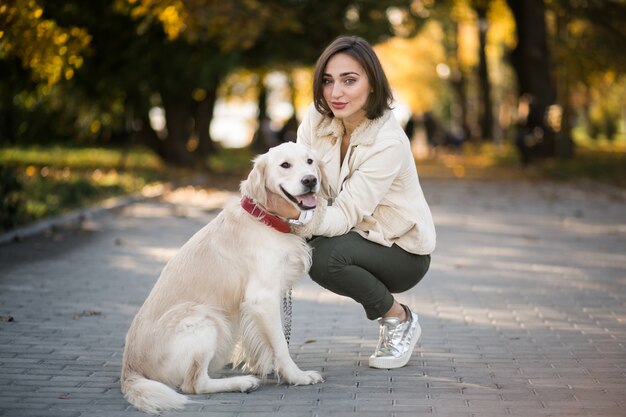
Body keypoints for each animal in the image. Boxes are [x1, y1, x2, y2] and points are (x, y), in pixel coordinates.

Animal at [119, 142, 322, 412]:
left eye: (310, 161)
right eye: (285, 165)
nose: (310, 180)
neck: (264, 218)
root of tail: (129, 369)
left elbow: (265, 342)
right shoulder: (261, 298)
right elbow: (280, 343)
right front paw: (296, 375)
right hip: (206, 320)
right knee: (194, 384)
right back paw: (243, 382)